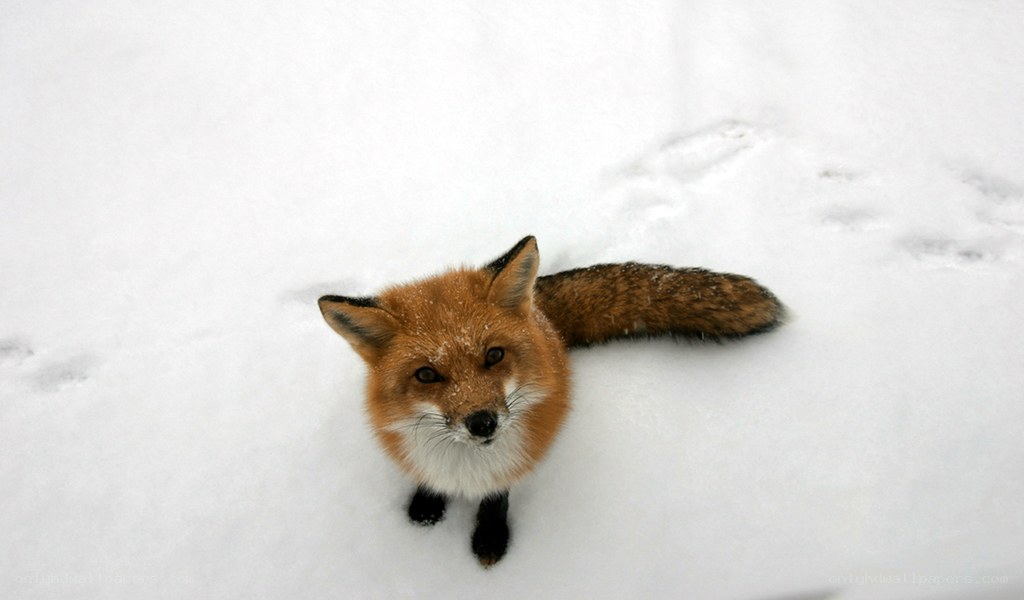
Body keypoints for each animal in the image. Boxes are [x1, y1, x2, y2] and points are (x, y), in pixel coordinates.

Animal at [318, 236, 784, 566]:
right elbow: (428, 481)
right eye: (427, 375)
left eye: (494, 355)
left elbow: (497, 498)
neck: (467, 469)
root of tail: (541, 313)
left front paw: (490, 538)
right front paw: (426, 507)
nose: (482, 423)